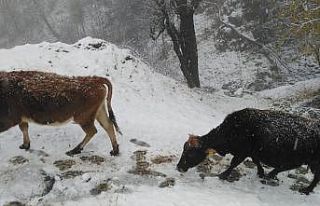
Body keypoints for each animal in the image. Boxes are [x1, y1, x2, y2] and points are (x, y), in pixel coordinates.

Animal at [176, 108, 320, 195]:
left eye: (190, 153)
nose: (178, 167)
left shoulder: (242, 151)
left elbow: (234, 163)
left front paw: (222, 175)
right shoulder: (252, 151)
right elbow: (256, 161)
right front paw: (260, 173)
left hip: (311, 160)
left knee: (312, 175)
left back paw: (305, 189)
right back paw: (272, 175)